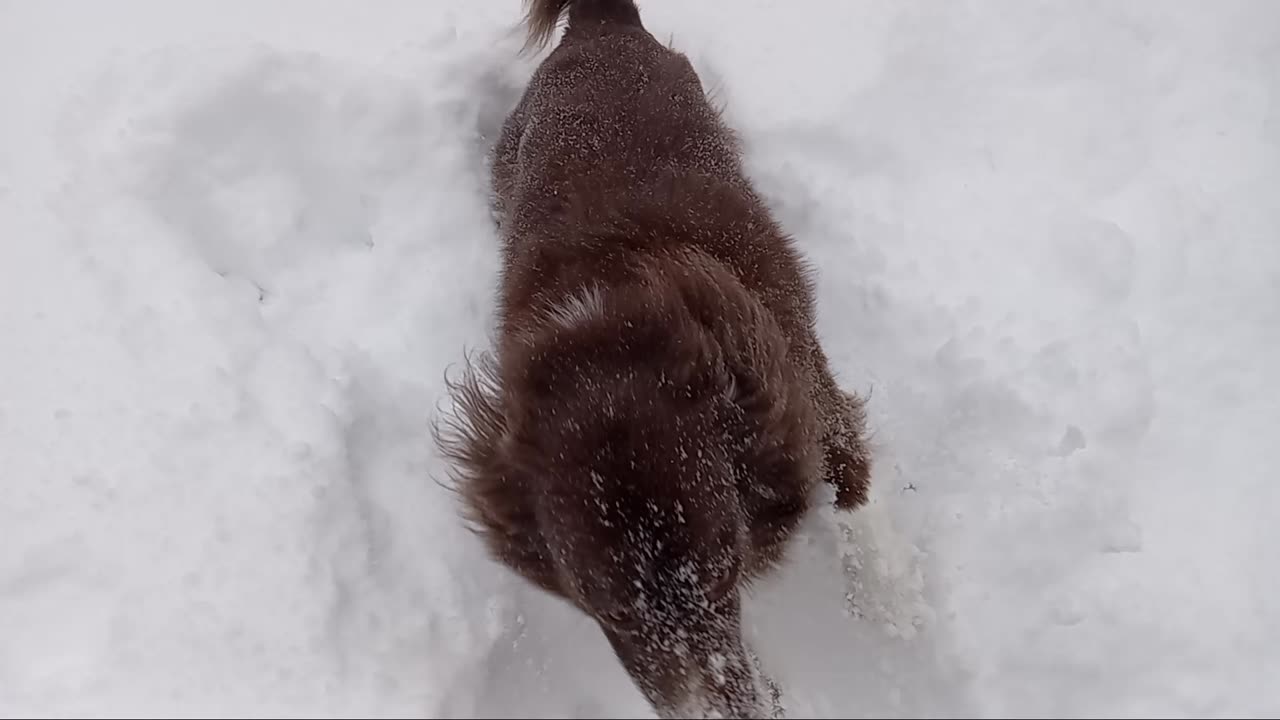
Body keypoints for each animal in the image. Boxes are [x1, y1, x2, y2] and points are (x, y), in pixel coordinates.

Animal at [437, 2, 870, 712]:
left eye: (724, 572)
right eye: (605, 609)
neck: (610, 310)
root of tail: (602, 22)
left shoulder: (797, 375)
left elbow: (852, 494)